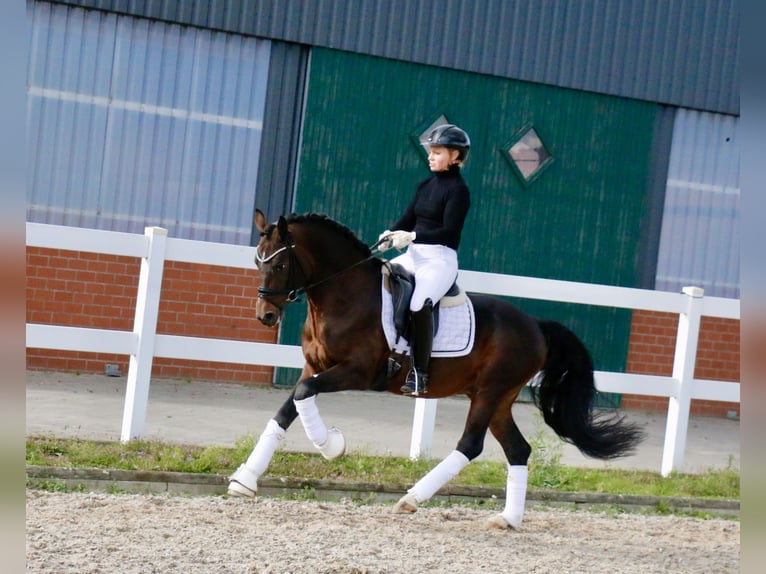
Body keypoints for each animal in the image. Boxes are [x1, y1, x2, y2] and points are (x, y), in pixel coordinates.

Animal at [230, 210, 648, 532]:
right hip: (498, 397)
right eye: (257, 262)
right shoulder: (313, 367)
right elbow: (287, 409)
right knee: (518, 449)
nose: (265, 316)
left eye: (279, 263)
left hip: (489, 392)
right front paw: (245, 480)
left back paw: (412, 498)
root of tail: (536, 324)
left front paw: (332, 444)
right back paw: (507, 520)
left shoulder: (357, 372)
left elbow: (302, 397)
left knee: (470, 444)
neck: (342, 295)